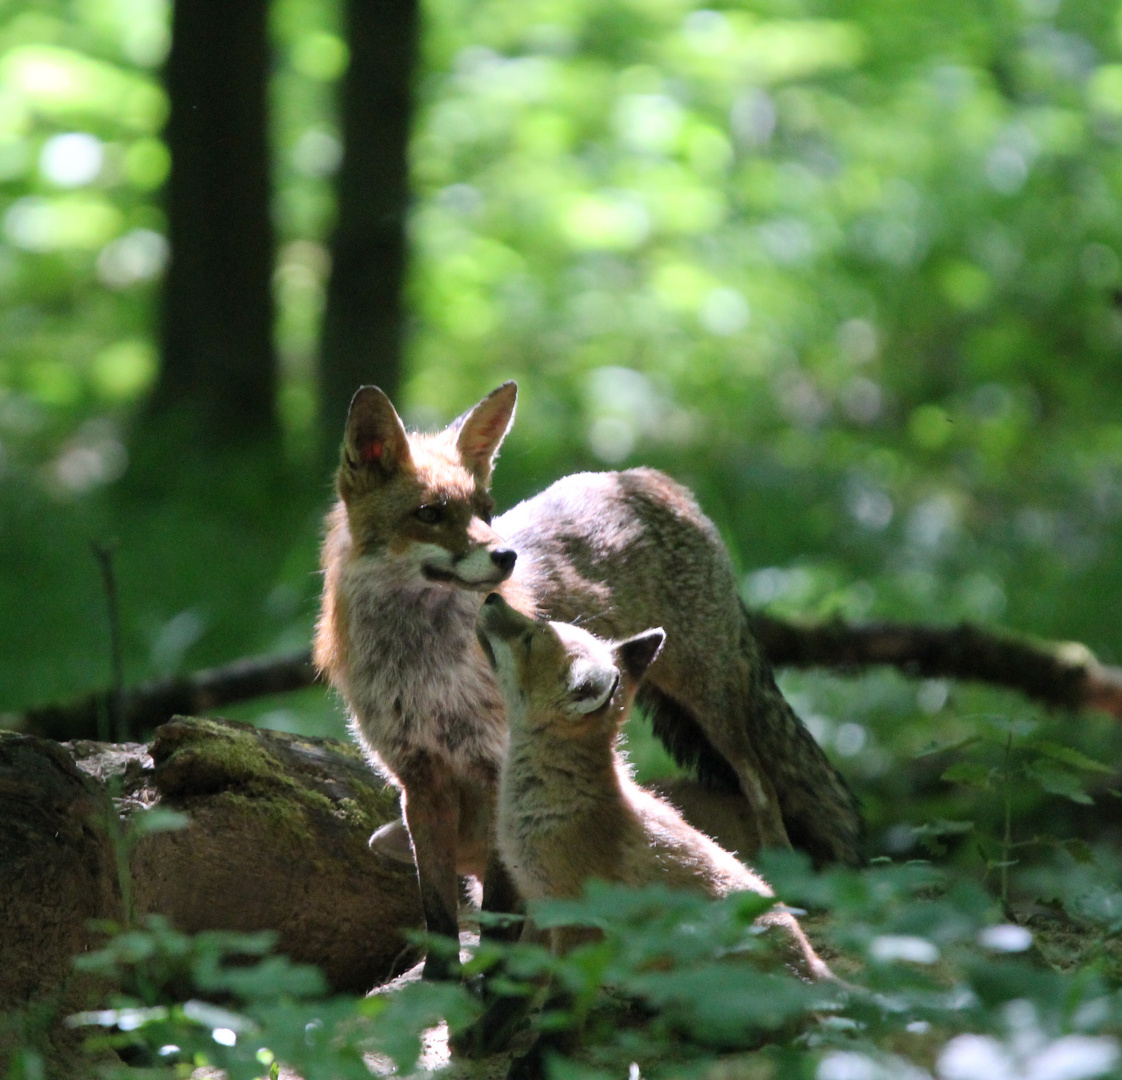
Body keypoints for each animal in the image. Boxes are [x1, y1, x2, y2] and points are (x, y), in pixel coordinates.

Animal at [316, 381, 866, 977]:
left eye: (485, 511)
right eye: (430, 513)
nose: (506, 556)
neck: (425, 672)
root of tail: (646, 477)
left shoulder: (496, 766)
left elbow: (501, 906)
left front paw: (498, 975)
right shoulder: (419, 782)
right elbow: (436, 907)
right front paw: (440, 984)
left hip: (710, 699)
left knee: (761, 784)